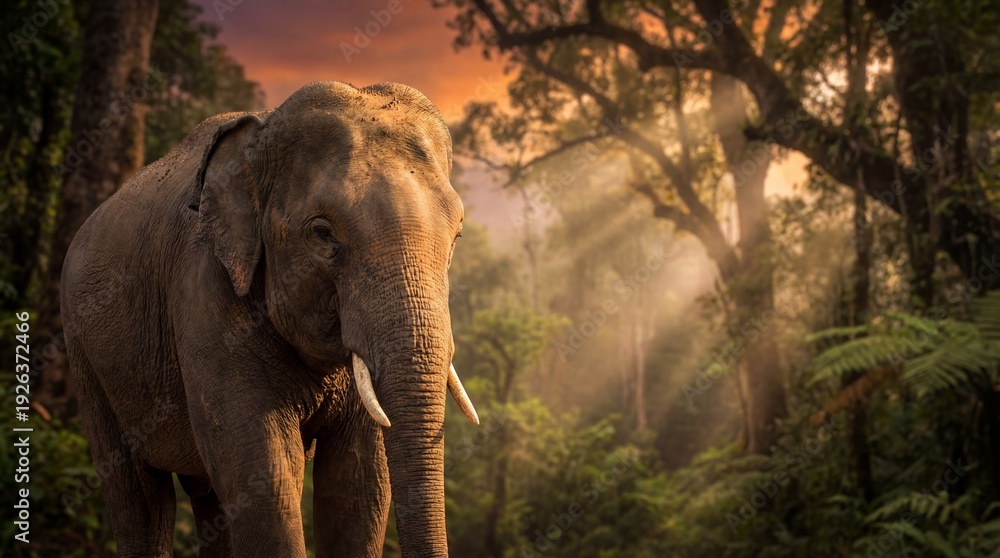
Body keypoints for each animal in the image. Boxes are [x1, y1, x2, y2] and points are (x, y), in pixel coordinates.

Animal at [60, 81, 480, 557]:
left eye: (457, 235)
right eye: (323, 234)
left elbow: (360, 482)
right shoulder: (205, 290)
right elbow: (263, 473)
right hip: (85, 356)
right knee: (138, 498)